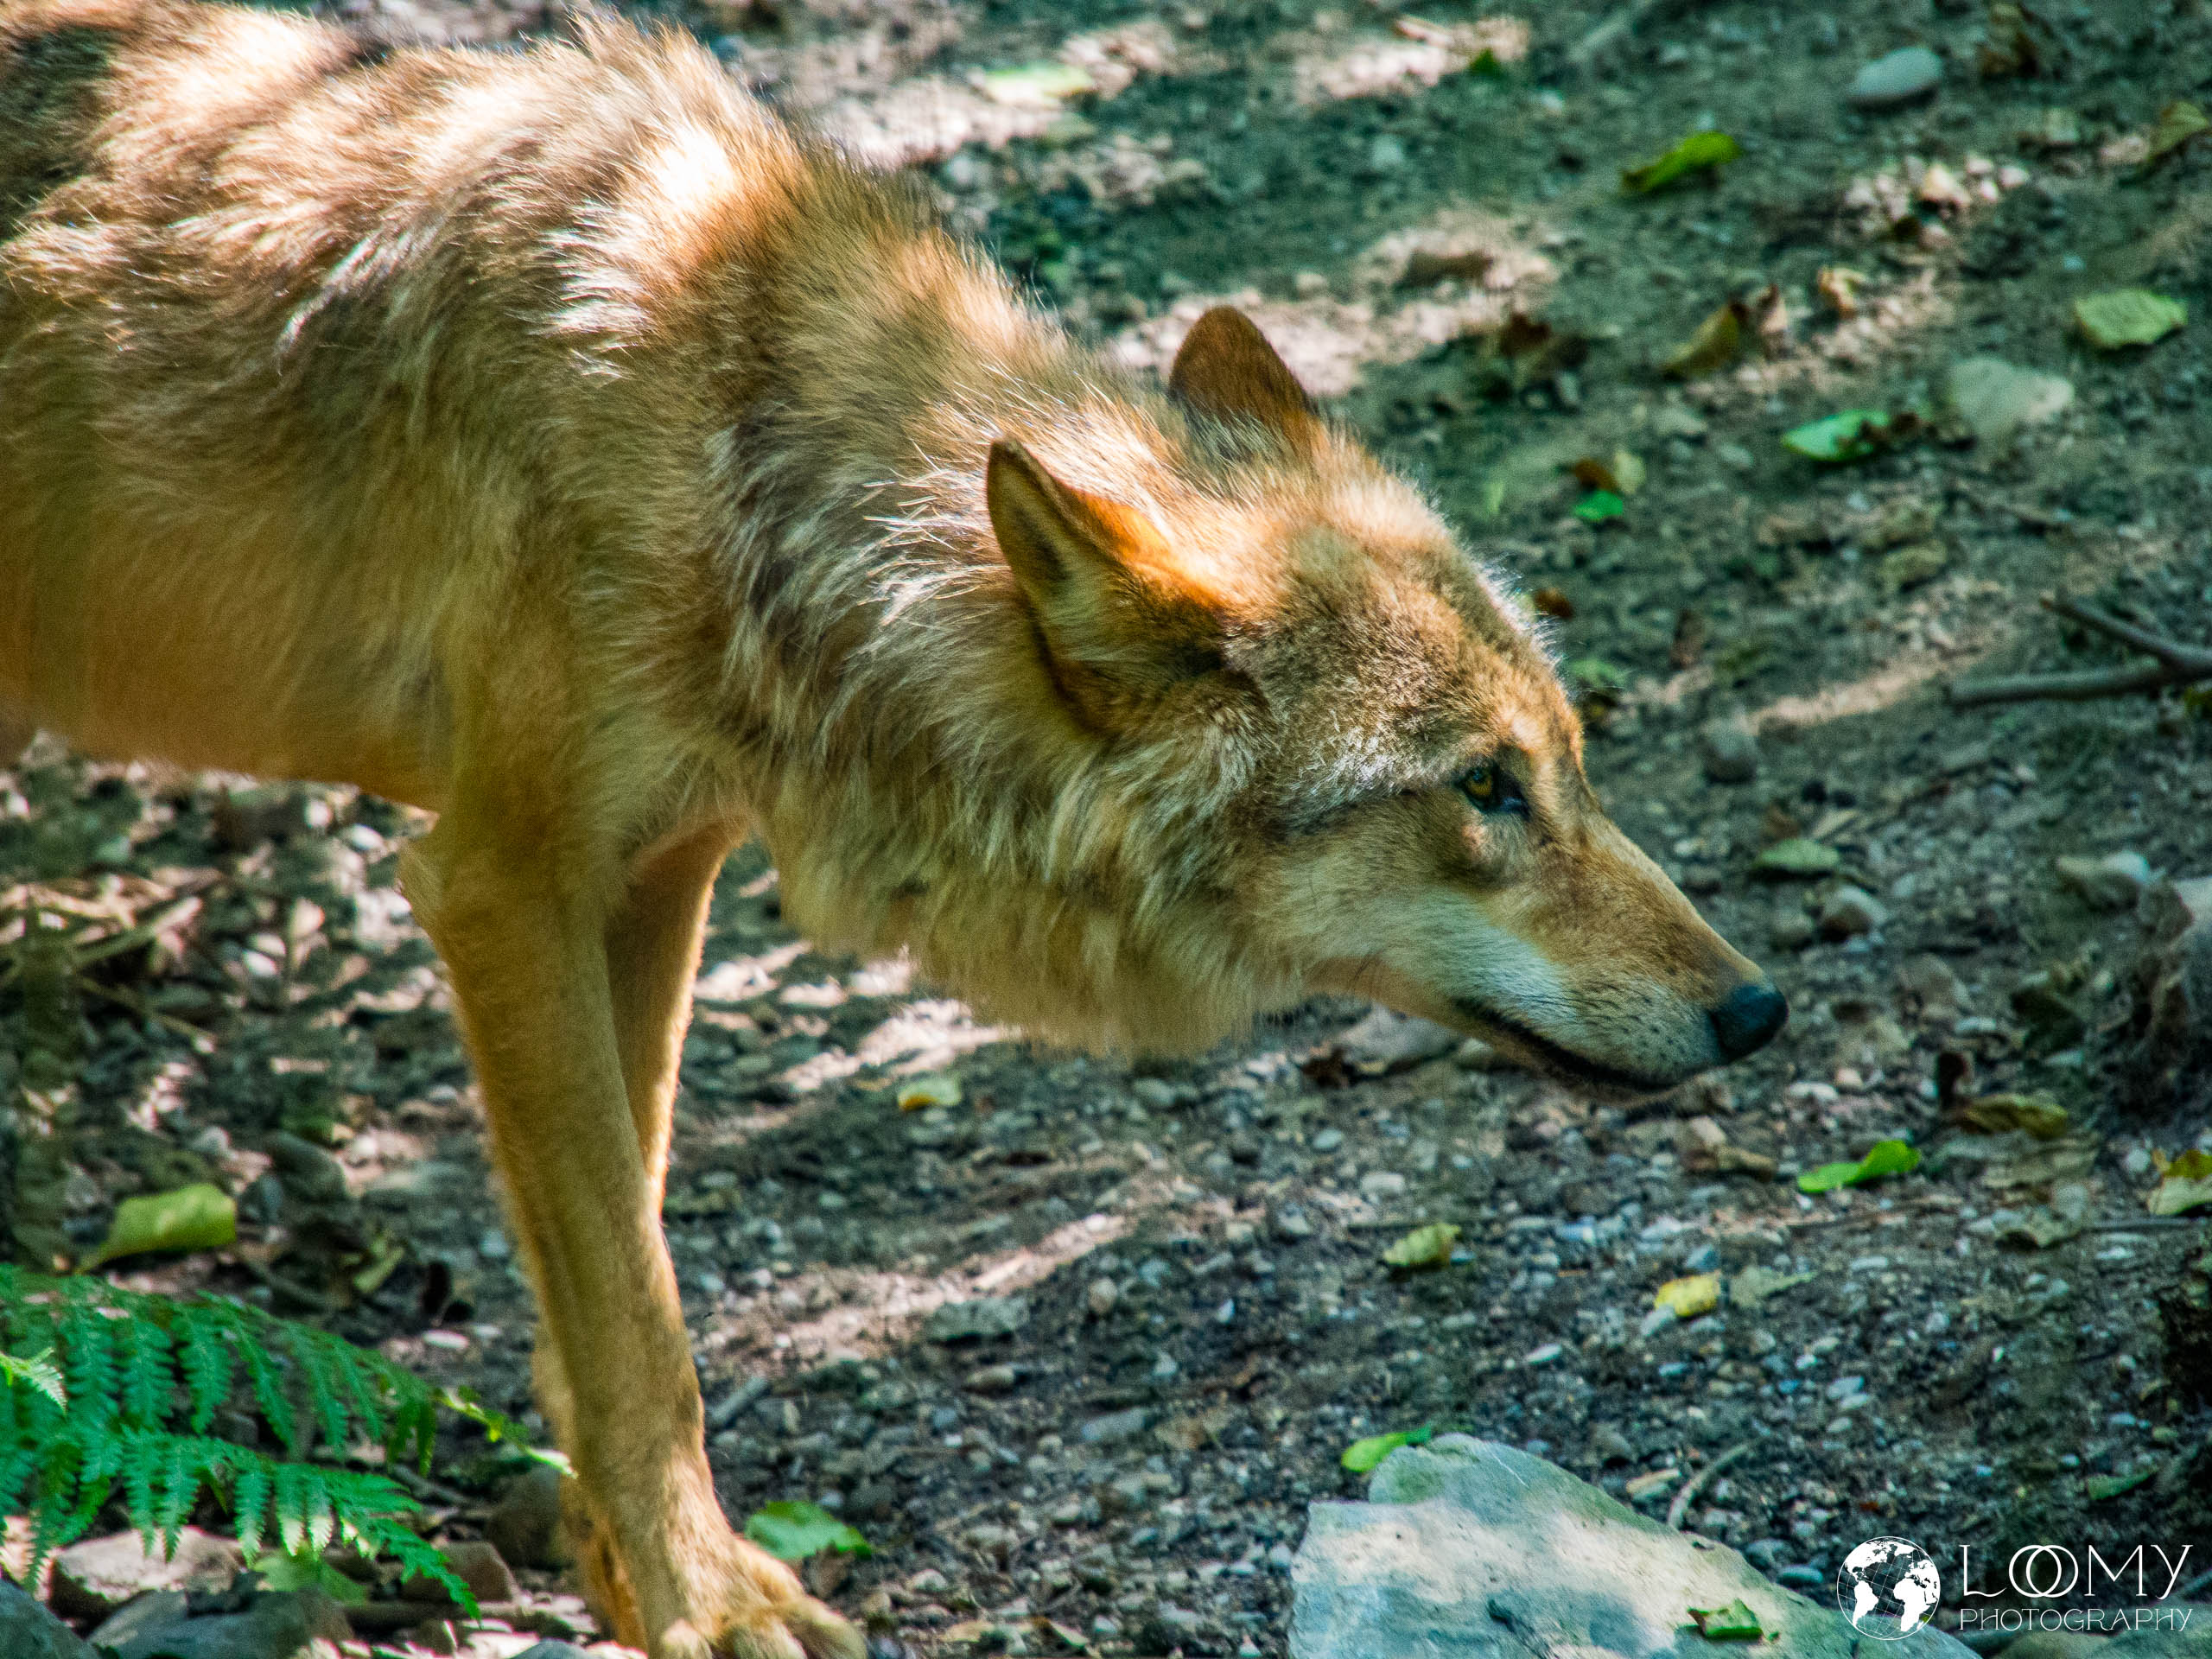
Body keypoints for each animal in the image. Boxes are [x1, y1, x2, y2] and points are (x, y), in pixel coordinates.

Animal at [0, 2, 1787, 1652]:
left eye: (1569, 765)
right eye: (1482, 791)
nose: (1760, 1008)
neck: (734, 453)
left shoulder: (652, 873)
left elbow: (615, 1256)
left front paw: (622, 1572)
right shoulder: (497, 878)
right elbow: (635, 1307)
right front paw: (707, 1604)